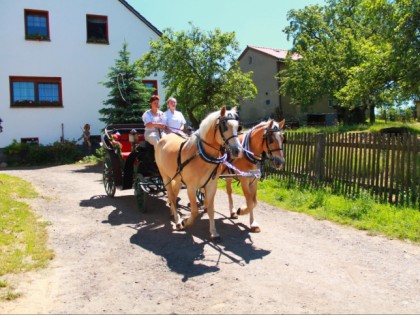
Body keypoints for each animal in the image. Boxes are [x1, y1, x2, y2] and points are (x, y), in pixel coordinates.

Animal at [155, 106, 243, 242]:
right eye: (224, 126)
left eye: (238, 126)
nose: (237, 151)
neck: (202, 155)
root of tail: (164, 138)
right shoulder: (191, 187)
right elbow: (195, 211)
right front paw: (185, 222)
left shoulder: (211, 185)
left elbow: (211, 209)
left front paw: (213, 232)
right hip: (165, 177)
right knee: (171, 196)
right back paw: (177, 220)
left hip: (178, 179)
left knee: (173, 196)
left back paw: (173, 213)